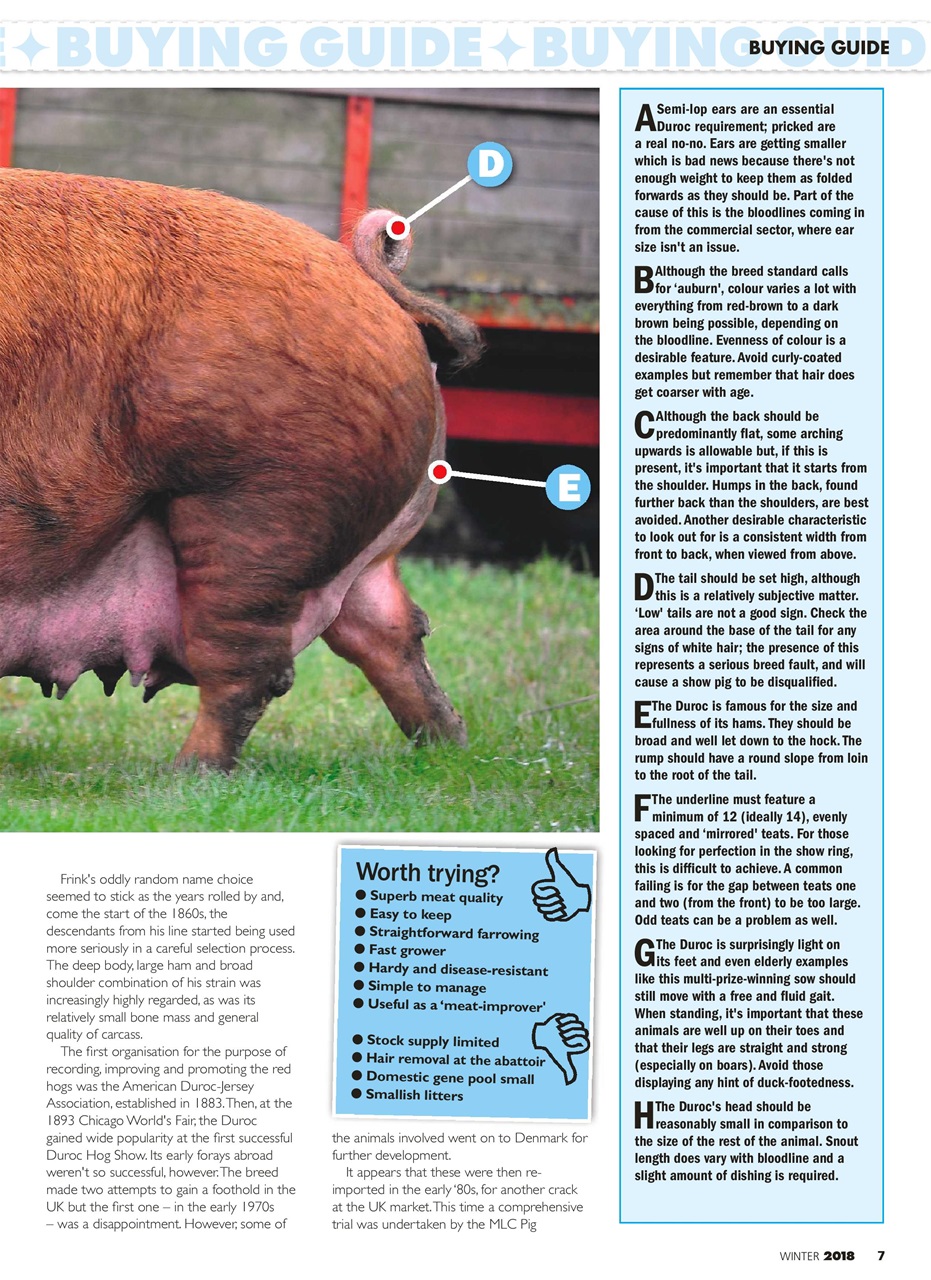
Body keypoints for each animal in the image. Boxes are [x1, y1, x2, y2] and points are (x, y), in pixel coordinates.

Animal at [0, 170, 482, 770]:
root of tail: (368, 282)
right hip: (351, 537)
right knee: (391, 630)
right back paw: (448, 749)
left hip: (259, 507)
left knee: (249, 668)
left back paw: (186, 775)